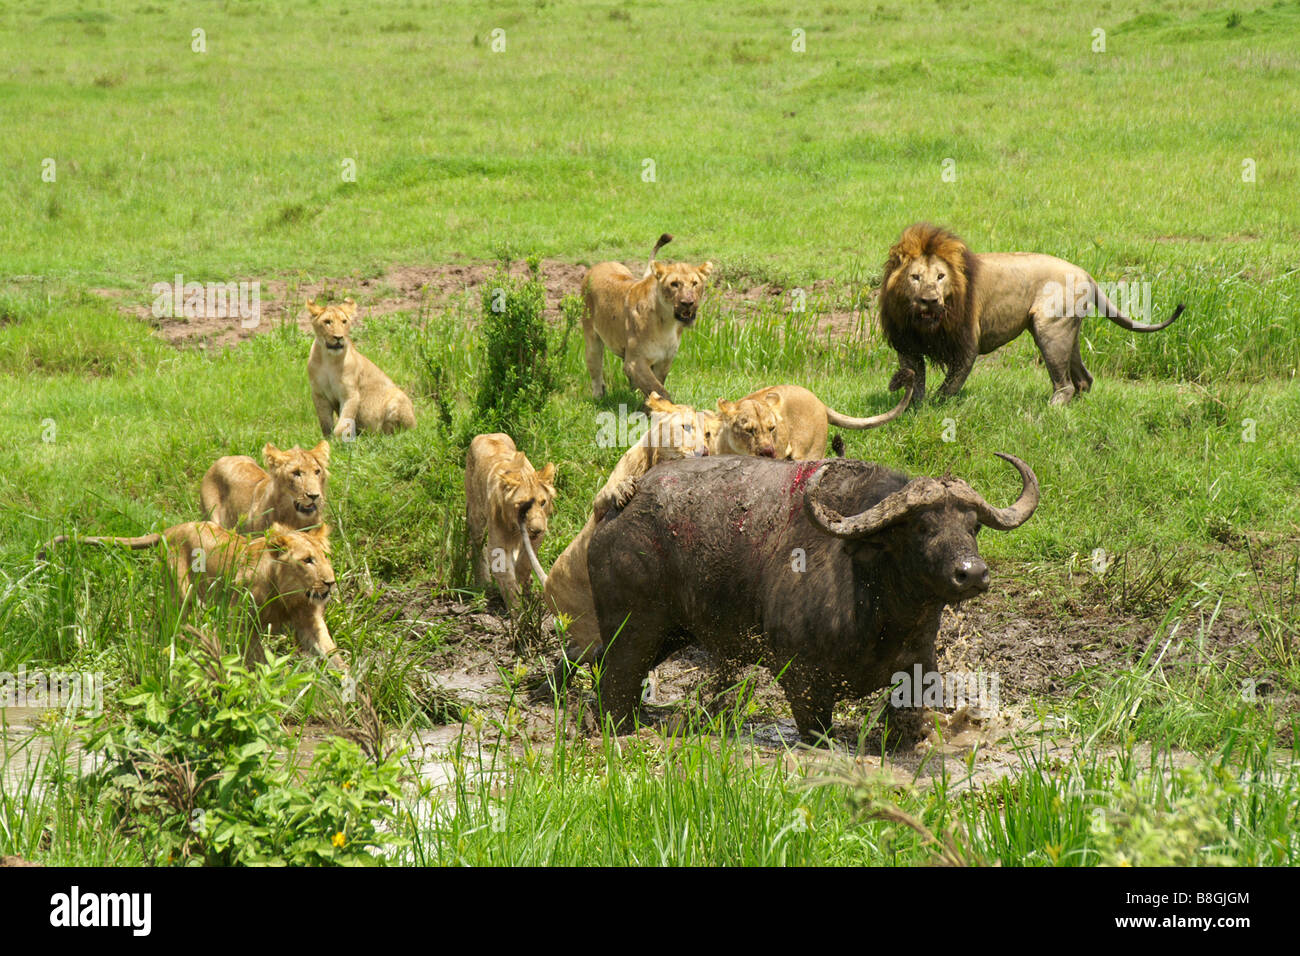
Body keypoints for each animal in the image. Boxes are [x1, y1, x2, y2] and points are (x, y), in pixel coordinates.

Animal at [306, 297, 413, 439]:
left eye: (344, 321)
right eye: (327, 322)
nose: (339, 337)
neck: (329, 359)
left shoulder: (351, 395)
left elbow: (343, 424)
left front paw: (340, 441)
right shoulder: (319, 394)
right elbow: (326, 424)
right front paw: (328, 440)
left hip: (397, 398)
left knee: (396, 432)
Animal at [585, 452, 1040, 743]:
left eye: (973, 526)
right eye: (922, 526)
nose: (972, 573)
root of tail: (615, 509)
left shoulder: (917, 673)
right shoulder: (802, 680)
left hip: (671, 633)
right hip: (634, 631)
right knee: (615, 685)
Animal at [878, 223, 1185, 403]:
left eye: (941, 276)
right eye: (915, 277)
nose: (930, 300)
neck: (925, 323)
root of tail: (1084, 272)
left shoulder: (967, 344)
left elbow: (949, 387)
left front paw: (936, 407)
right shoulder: (906, 344)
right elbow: (915, 382)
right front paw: (913, 410)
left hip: (1050, 329)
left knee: (1065, 384)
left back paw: (1052, 410)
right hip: (1067, 332)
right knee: (1084, 379)